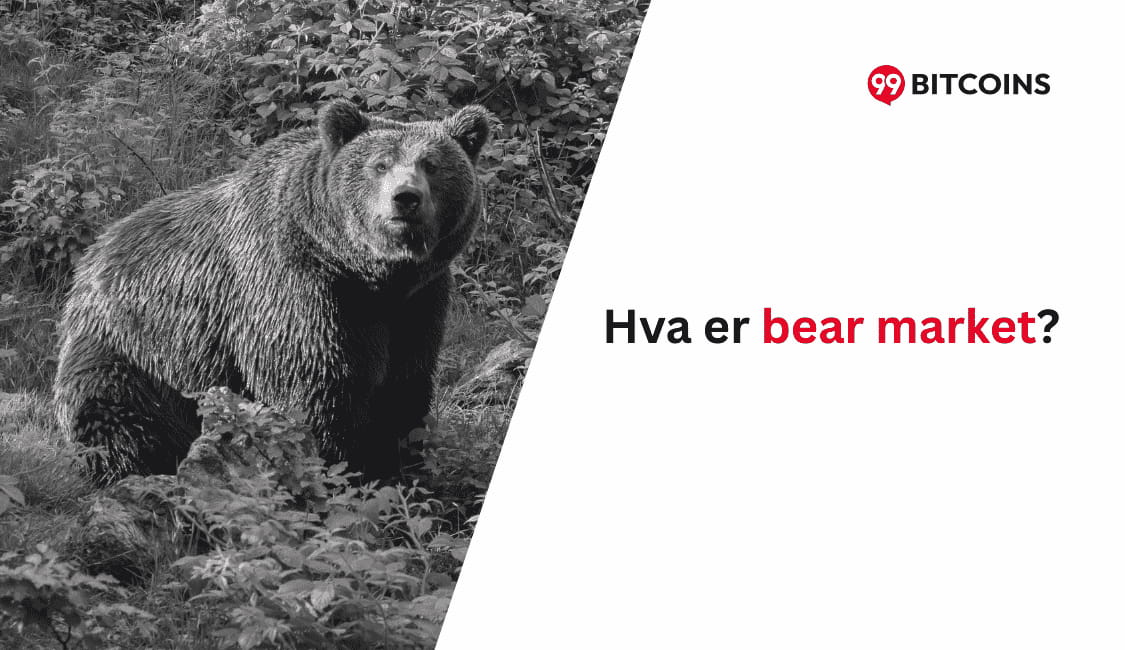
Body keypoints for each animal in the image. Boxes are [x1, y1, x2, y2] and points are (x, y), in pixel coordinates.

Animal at [53, 101, 492, 485]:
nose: (406, 198)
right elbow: (313, 390)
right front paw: (336, 470)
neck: (368, 273)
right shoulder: (295, 289)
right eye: (380, 164)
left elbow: (402, 391)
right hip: (136, 351)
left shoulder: (418, 303)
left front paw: (399, 471)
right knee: (115, 416)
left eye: (431, 165)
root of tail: (95, 251)